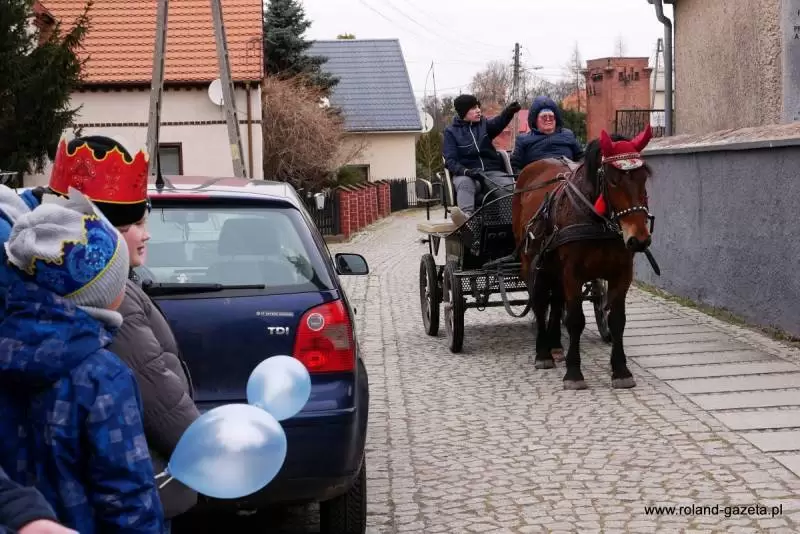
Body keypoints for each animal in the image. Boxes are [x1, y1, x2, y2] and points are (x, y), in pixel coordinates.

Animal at [511, 125, 655, 390]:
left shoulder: (622, 272)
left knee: (556, 302)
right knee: (539, 302)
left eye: (643, 177)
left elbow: (617, 319)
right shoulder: (573, 273)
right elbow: (575, 320)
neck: (597, 220)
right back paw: (543, 353)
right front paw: (573, 372)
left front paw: (621, 370)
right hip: (532, 263)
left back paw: (556, 345)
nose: (639, 239)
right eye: (613, 180)